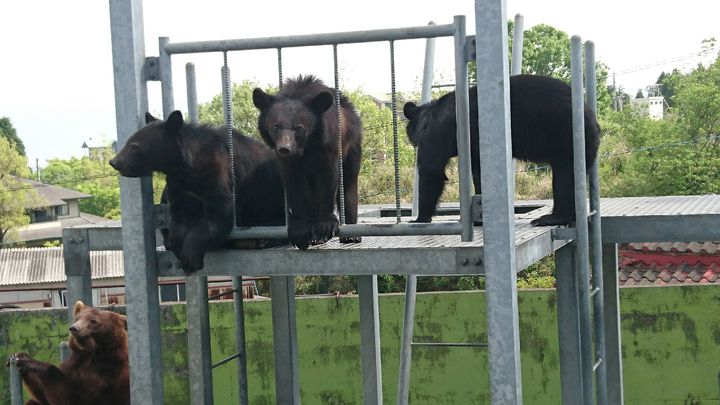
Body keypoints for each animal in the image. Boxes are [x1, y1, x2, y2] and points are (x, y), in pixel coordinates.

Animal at [109, 111, 286, 272]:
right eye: (128, 141)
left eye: (134, 146)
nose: (114, 162)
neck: (185, 169)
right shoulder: (178, 186)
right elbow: (180, 218)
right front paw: (178, 248)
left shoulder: (219, 174)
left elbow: (219, 214)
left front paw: (190, 259)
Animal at [253, 75, 363, 250]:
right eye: (276, 126)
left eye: (299, 127)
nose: (284, 148)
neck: (307, 147)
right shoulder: (289, 163)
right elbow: (293, 184)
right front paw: (300, 231)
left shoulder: (328, 146)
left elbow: (329, 177)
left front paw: (324, 227)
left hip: (352, 146)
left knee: (349, 182)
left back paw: (351, 235)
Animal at [403, 74, 601, 226]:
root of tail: (593, 119)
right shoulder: (475, 148)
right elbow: (479, 173)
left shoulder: (437, 134)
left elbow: (432, 171)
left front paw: (419, 218)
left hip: (567, 138)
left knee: (565, 178)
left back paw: (550, 218)